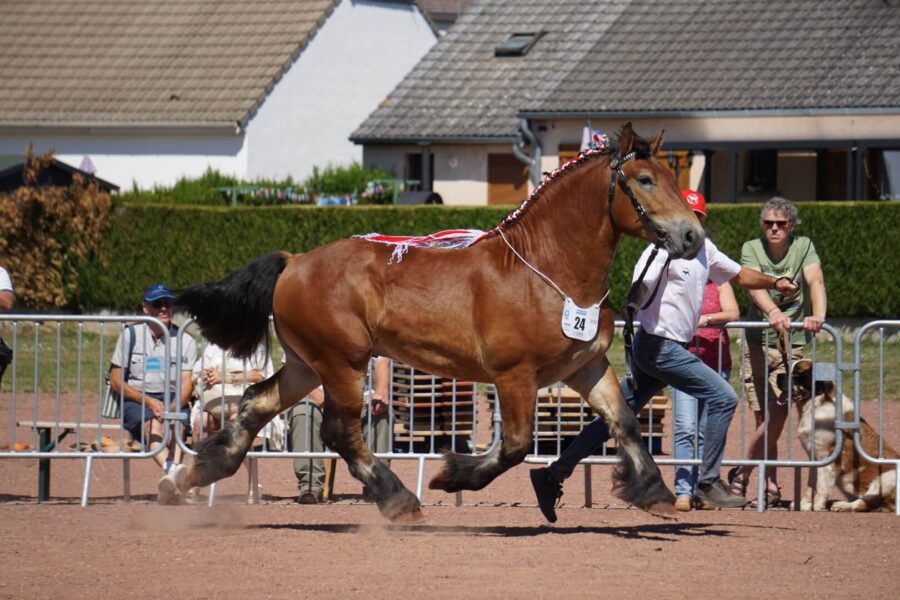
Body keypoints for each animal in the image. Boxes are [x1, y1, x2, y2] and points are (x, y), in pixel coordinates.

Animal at [169, 123, 704, 520]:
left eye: (672, 175)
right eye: (644, 180)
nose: (693, 236)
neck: (547, 272)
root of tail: (295, 261)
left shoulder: (585, 366)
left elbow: (625, 422)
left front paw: (654, 493)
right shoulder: (514, 376)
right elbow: (514, 444)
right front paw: (452, 475)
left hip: (306, 364)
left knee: (256, 404)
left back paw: (187, 477)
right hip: (342, 362)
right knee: (340, 432)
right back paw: (399, 499)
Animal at [776, 358, 896, 512]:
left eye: (797, 374)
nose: (778, 376)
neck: (815, 405)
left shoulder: (827, 458)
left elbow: (821, 485)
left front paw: (816, 506)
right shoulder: (813, 457)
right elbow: (811, 484)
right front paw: (804, 504)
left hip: (887, 476)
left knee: (864, 502)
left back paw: (842, 505)